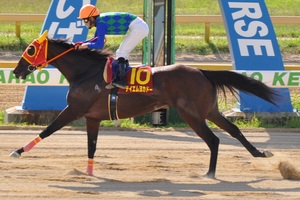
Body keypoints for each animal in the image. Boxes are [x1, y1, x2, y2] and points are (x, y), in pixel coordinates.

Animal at [11, 31, 278, 178]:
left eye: (30, 49)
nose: (16, 70)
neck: (85, 73)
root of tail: (202, 71)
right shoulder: (92, 117)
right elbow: (91, 147)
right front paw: (88, 172)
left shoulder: (74, 110)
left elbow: (48, 130)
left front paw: (17, 151)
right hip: (209, 110)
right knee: (233, 130)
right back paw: (260, 153)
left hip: (191, 114)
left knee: (213, 140)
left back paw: (209, 173)